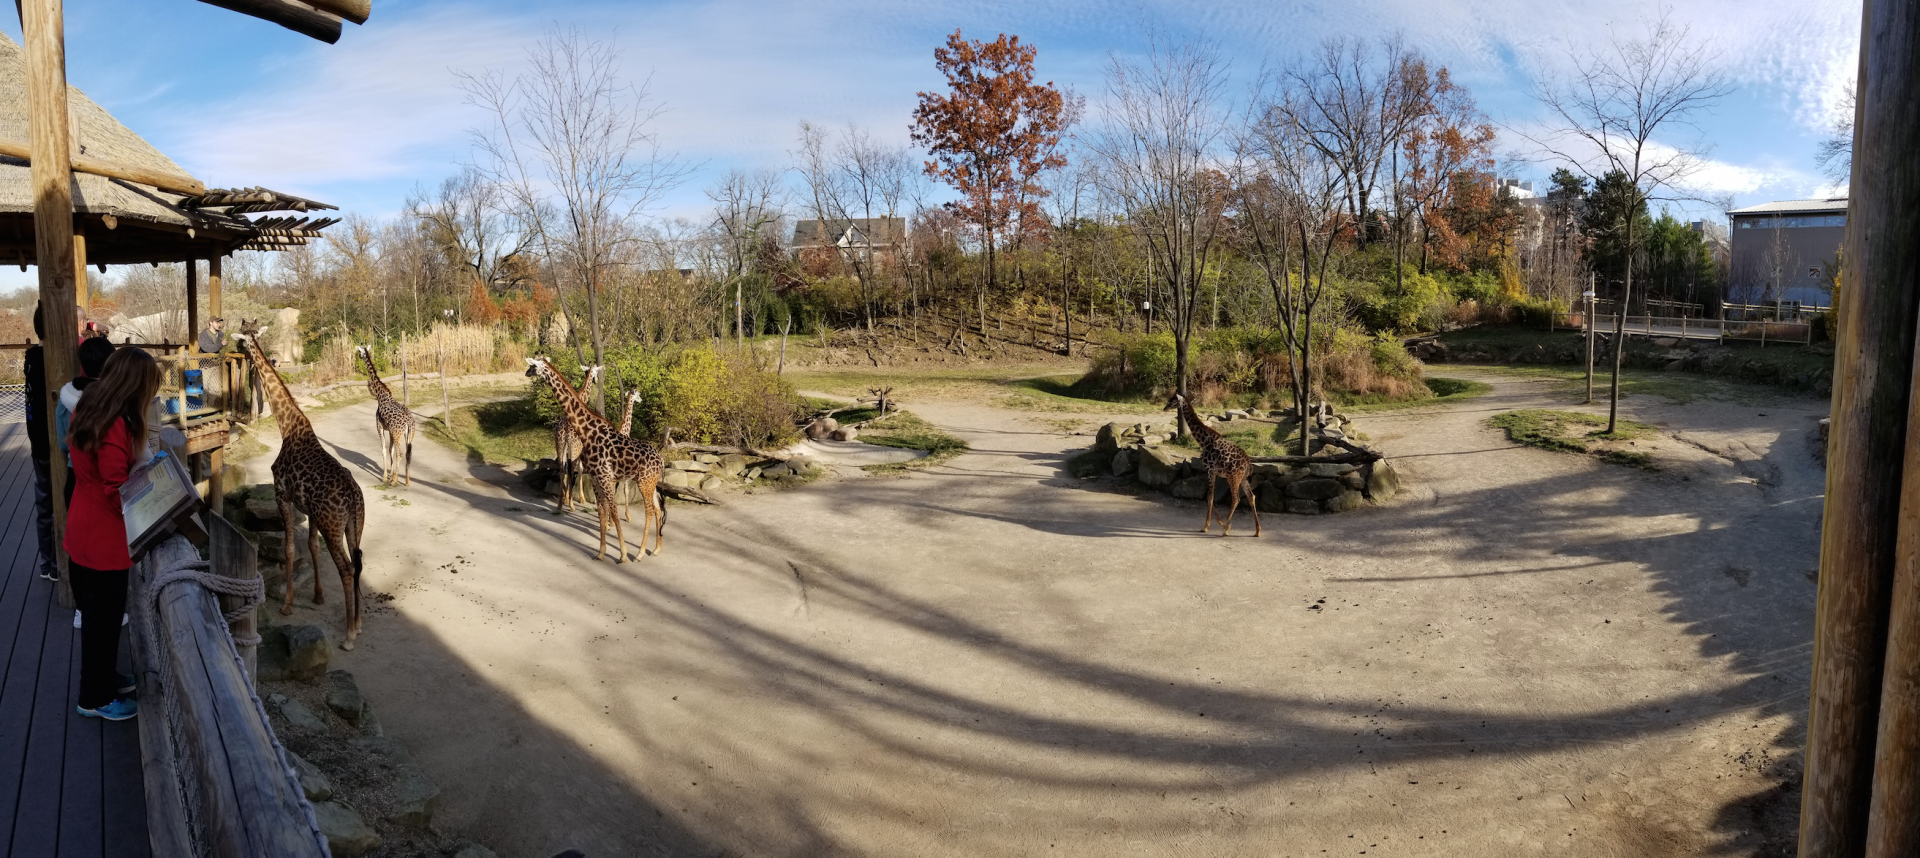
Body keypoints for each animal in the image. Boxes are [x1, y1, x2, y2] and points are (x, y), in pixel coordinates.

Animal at [235, 332, 370, 648]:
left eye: (242, 338)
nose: (234, 348)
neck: (287, 426)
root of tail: (353, 498)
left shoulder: (282, 495)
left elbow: (290, 548)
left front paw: (287, 604)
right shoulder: (309, 510)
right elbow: (311, 546)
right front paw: (318, 596)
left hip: (333, 526)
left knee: (347, 569)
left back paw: (348, 635)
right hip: (353, 525)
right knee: (358, 563)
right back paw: (358, 624)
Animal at [356, 346, 418, 487]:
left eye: (359, 351)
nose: (359, 356)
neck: (380, 395)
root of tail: (409, 422)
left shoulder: (380, 427)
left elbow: (384, 450)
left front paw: (386, 478)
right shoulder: (390, 430)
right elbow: (391, 450)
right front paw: (392, 475)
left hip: (398, 433)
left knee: (400, 454)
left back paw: (394, 482)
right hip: (408, 435)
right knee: (408, 454)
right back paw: (407, 481)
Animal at [526, 358, 665, 562]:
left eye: (533, 366)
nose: (526, 372)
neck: (587, 431)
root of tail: (661, 461)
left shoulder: (606, 477)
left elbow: (613, 510)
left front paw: (623, 554)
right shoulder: (595, 478)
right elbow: (601, 511)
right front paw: (601, 552)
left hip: (644, 482)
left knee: (650, 510)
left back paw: (639, 553)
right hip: (650, 483)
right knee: (657, 508)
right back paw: (655, 549)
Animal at [1165, 393, 1261, 537]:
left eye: (1173, 401)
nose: (1165, 407)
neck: (1204, 441)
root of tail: (1248, 464)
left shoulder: (1210, 470)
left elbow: (1209, 497)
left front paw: (1206, 526)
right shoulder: (1213, 472)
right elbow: (1209, 496)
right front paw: (1218, 522)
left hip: (1233, 477)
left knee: (1236, 498)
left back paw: (1227, 529)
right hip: (1243, 478)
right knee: (1251, 497)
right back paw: (1257, 530)